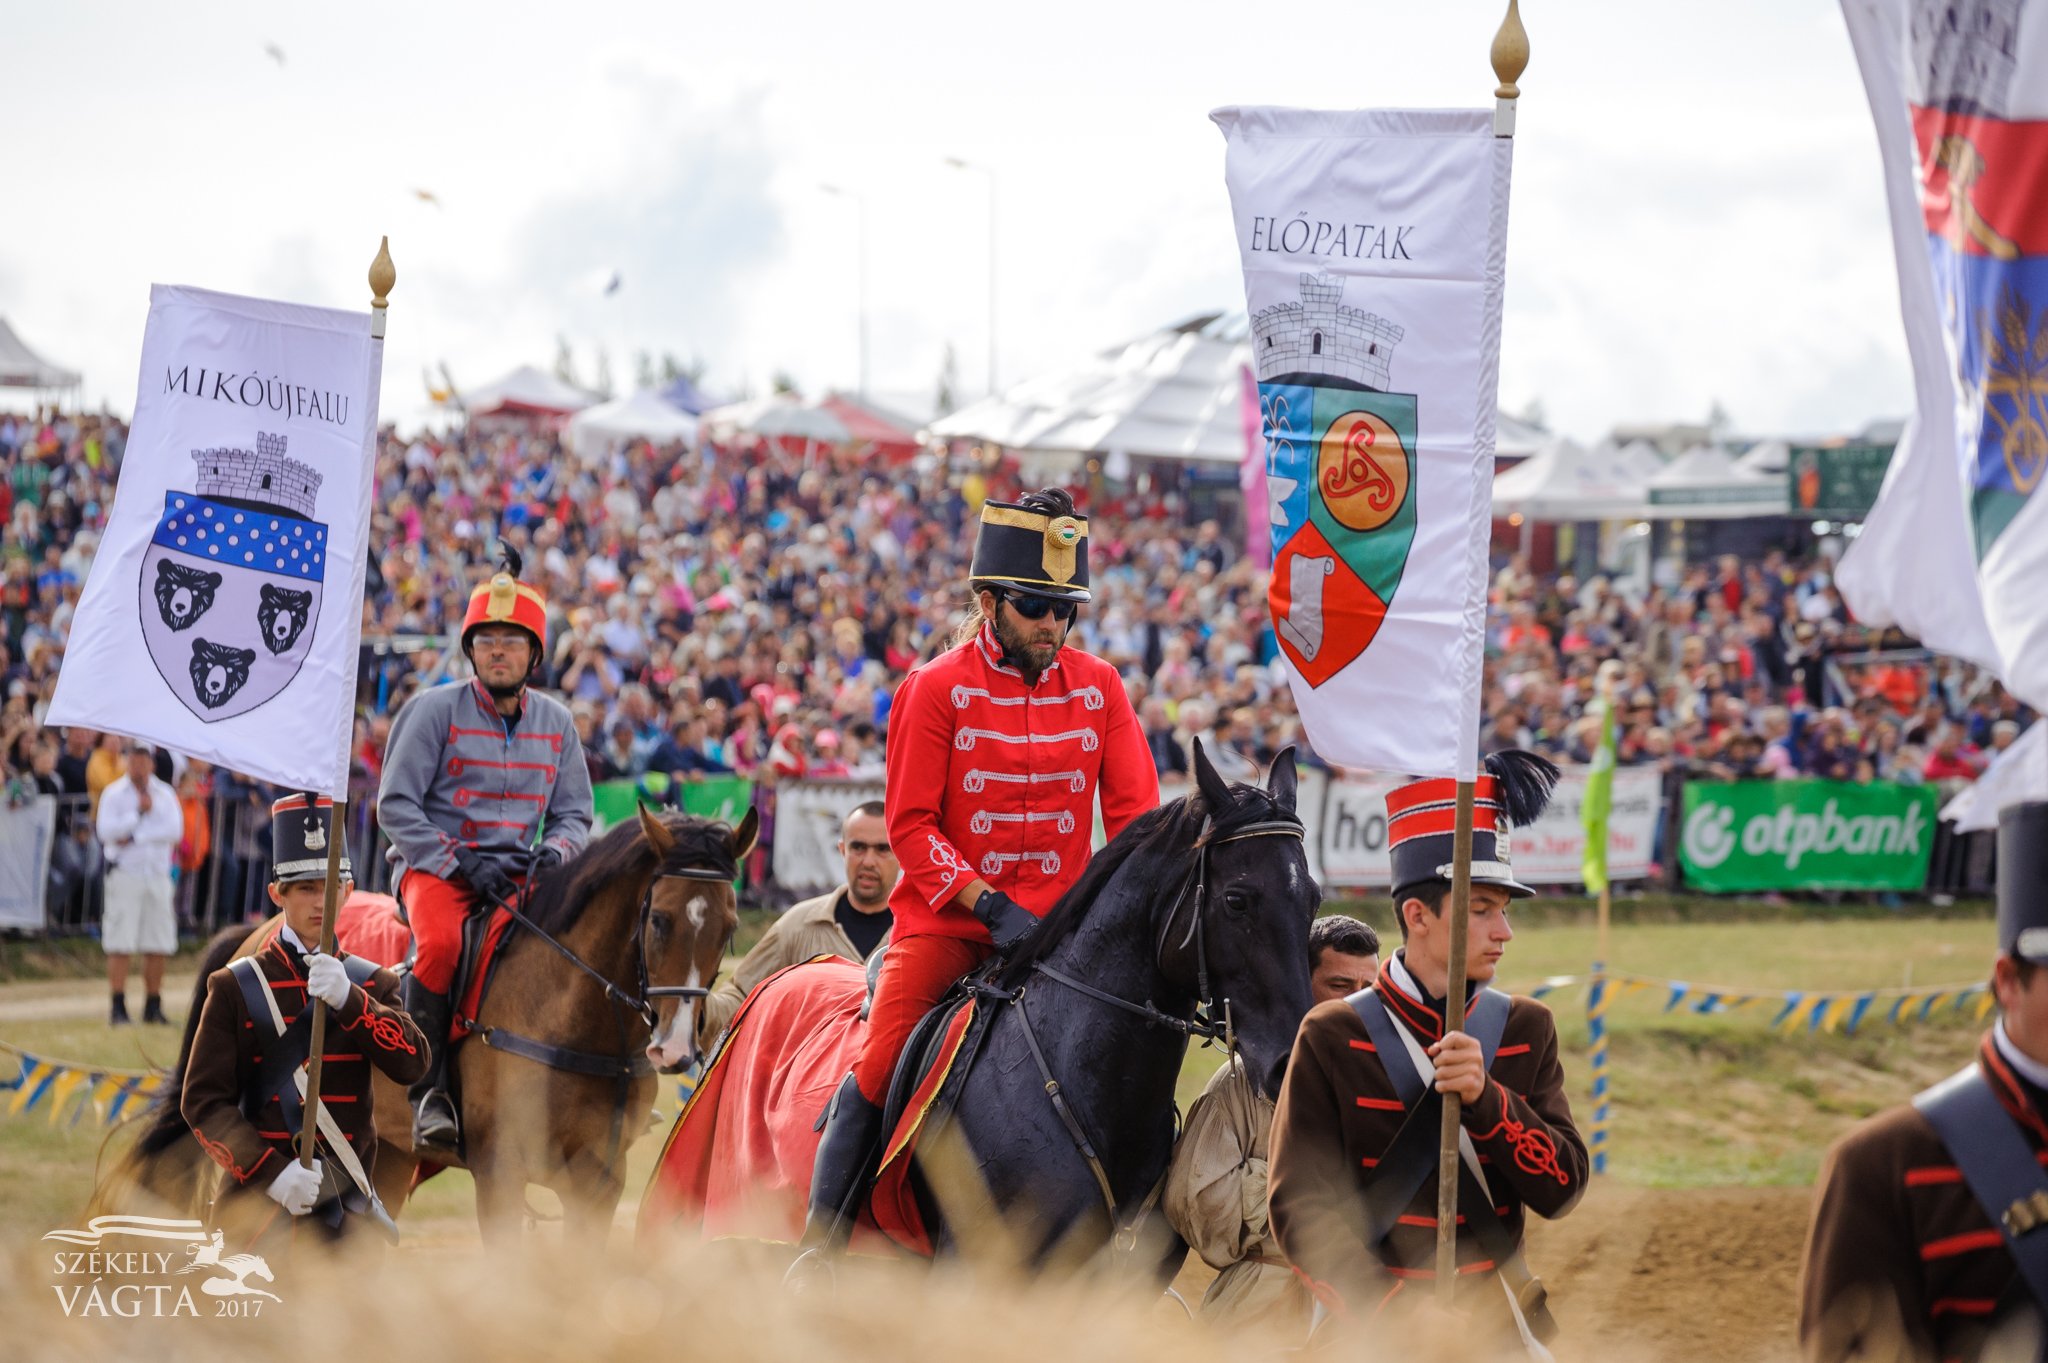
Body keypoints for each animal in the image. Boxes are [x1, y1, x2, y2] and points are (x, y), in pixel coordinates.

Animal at [94, 806, 753, 1244]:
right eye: (660, 920)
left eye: (729, 926)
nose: (674, 1048)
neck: (577, 1017)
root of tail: (254, 931)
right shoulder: (500, 1173)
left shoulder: (599, 1181)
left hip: (384, 1157)